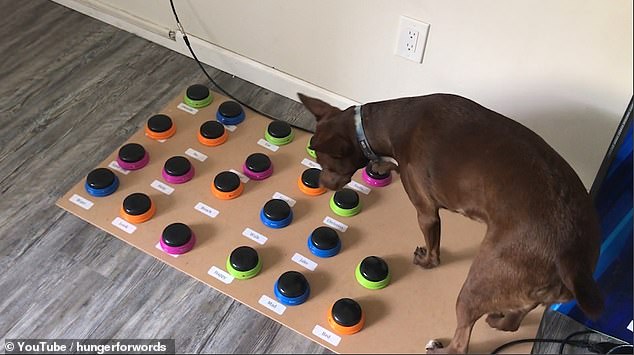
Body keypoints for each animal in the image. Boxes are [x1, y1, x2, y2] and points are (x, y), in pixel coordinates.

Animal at [296, 93, 604, 354]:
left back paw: (439, 348)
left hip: (477, 284)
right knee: (515, 321)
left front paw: (427, 261)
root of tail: (571, 257)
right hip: (532, 294)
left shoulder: (426, 212)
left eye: (327, 165)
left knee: (461, 344)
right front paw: (383, 165)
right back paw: (498, 321)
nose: (321, 183)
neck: (381, 127)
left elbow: (433, 248)